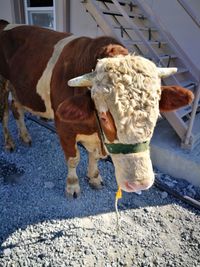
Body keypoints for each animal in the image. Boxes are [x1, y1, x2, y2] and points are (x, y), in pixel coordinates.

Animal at [0, 20, 194, 197]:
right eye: (104, 117)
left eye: (156, 117)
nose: (139, 184)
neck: (92, 126)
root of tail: (5, 23)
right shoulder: (64, 128)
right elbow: (73, 159)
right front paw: (72, 186)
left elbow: (94, 156)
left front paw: (94, 177)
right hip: (2, 85)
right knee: (5, 115)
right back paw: (9, 143)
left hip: (19, 88)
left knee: (17, 108)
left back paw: (25, 136)